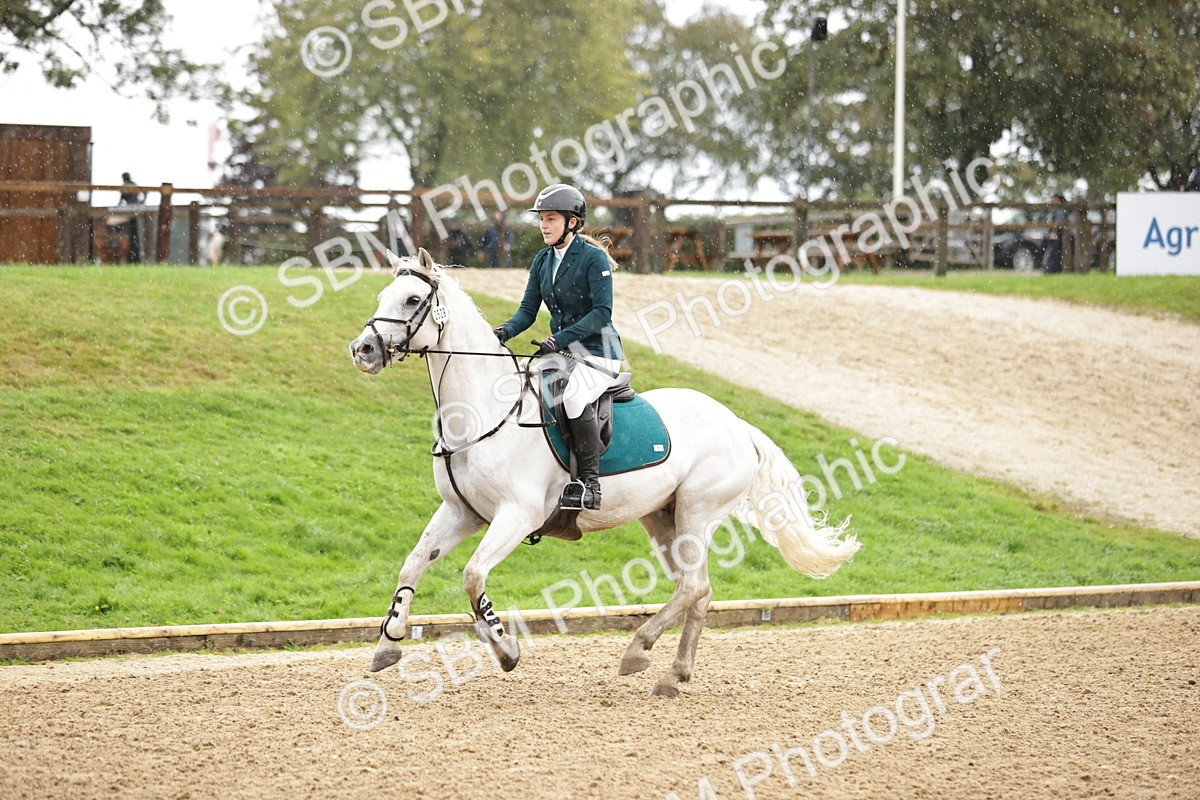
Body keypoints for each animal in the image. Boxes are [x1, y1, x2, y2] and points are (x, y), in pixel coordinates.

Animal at [348, 248, 860, 697]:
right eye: (382, 297)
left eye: (412, 300)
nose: (363, 350)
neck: (482, 412)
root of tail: (737, 424)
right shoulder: (461, 512)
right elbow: (414, 562)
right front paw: (388, 643)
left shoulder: (518, 515)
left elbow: (473, 576)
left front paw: (505, 648)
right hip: (663, 517)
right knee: (697, 590)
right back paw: (673, 675)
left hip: (697, 511)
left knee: (693, 586)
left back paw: (637, 650)